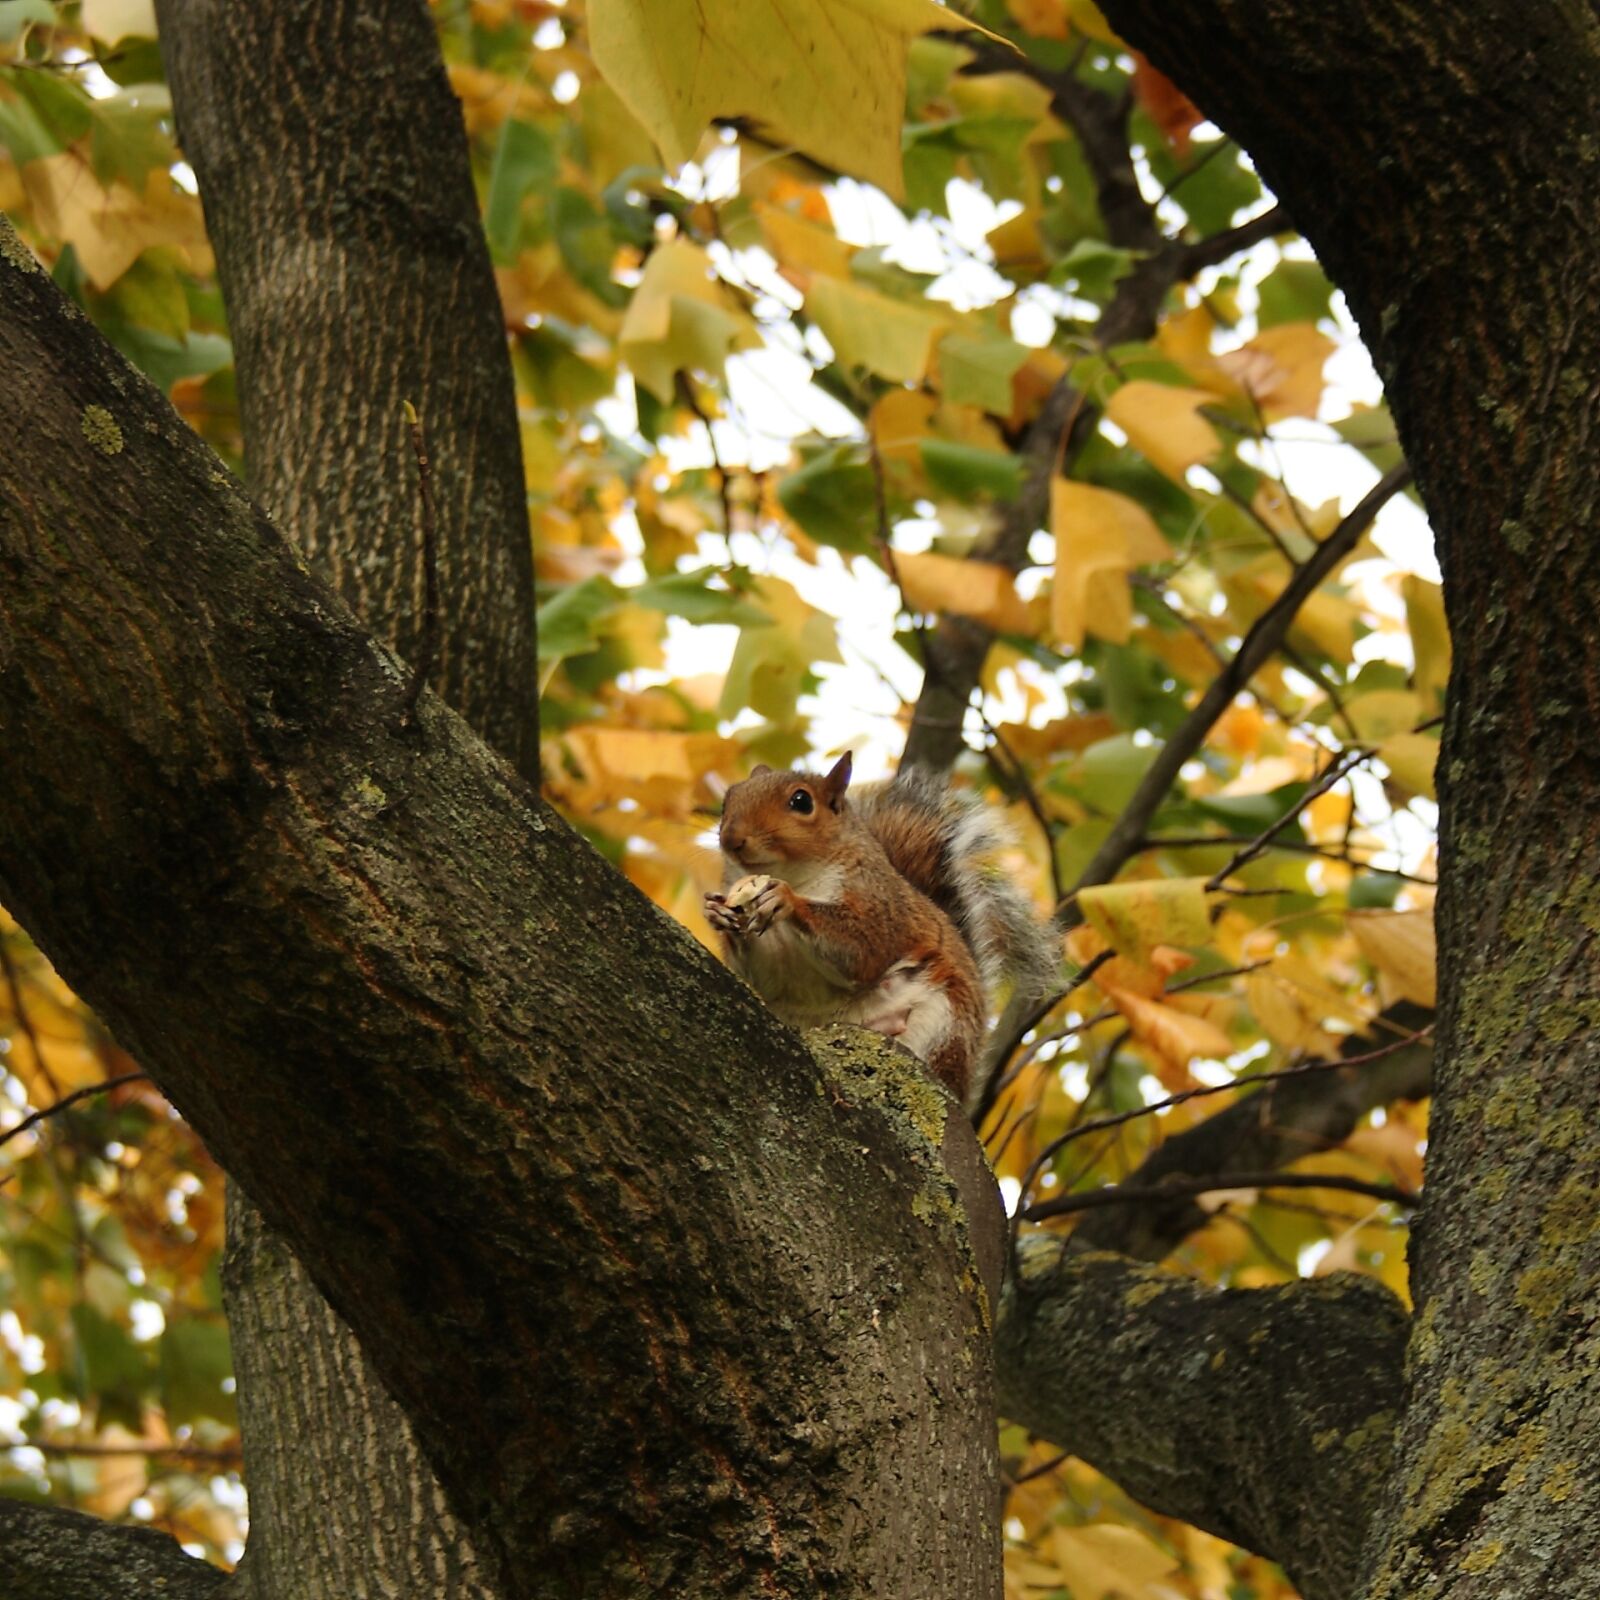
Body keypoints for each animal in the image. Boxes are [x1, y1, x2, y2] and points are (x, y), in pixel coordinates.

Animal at [704, 753, 1055, 1104]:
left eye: (801, 801)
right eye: (728, 800)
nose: (732, 839)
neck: (797, 875)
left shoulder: (881, 904)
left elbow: (864, 948)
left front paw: (787, 899)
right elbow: (764, 976)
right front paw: (718, 913)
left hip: (943, 1025)